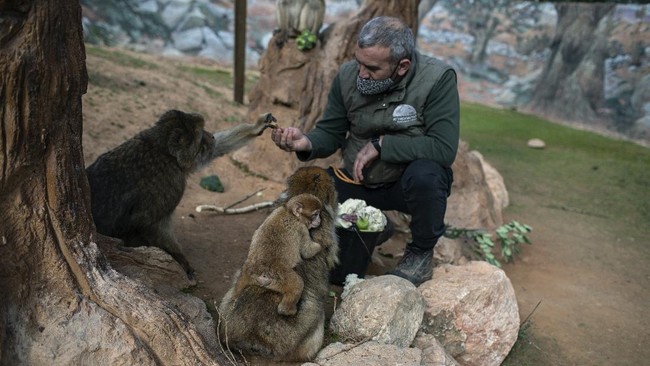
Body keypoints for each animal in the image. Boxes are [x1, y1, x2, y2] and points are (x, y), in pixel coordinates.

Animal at [86, 108, 276, 278]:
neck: (162, 149)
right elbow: (145, 222)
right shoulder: (171, 183)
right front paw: (181, 262)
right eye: (201, 134)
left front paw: (256, 126)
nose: (211, 136)